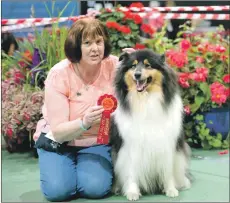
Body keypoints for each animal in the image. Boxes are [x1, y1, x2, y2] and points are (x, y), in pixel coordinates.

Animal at [108, 49, 191, 201]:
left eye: (148, 65)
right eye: (133, 66)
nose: (137, 75)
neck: (145, 99)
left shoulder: (166, 145)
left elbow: (167, 170)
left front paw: (170, 189)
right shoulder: (131, 146)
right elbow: (131, 171)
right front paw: (132, 192)